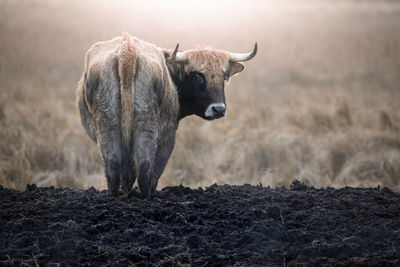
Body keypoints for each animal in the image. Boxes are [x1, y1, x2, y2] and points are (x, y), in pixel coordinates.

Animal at [76, 33, 256, 199]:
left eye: (224, 76)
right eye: (198, 76)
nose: (218, 109)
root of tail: (127, 50)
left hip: (108, 125)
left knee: (113, 165)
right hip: (150, 129)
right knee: (146, 167)